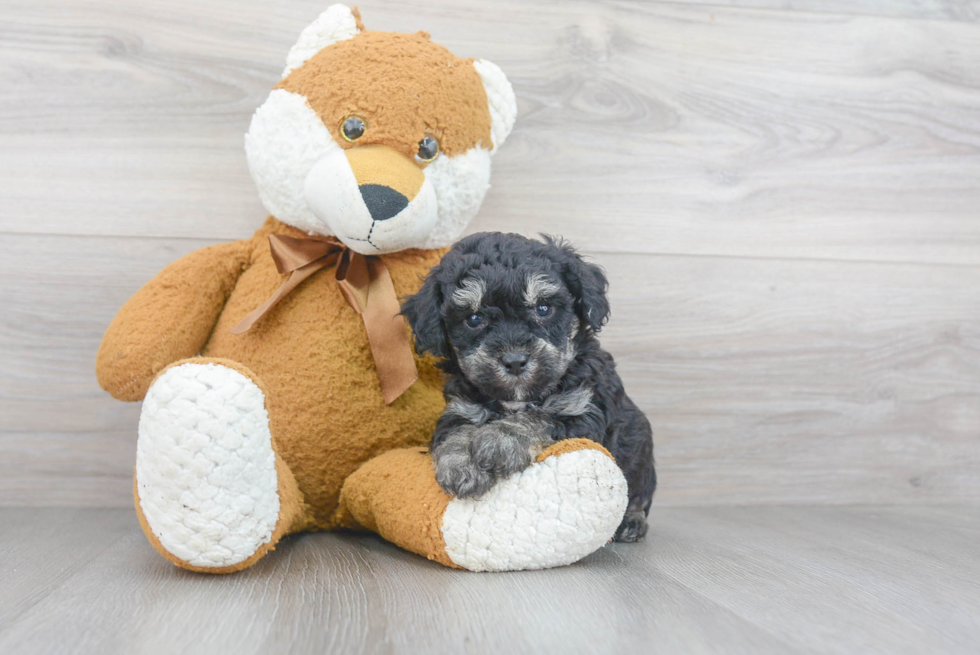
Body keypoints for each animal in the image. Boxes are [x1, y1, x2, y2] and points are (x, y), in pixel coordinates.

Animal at [402, 233, 656, 540]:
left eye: (543, 309)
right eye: (473, 319)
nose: (514, 361)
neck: (517, 399)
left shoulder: (582, 409)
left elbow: (538, 418)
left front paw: (499, 439)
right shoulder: (461, 409)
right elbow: (456, 433)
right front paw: (460, 464)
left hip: (642, 453)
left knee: (640, 493)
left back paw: (632, 521)